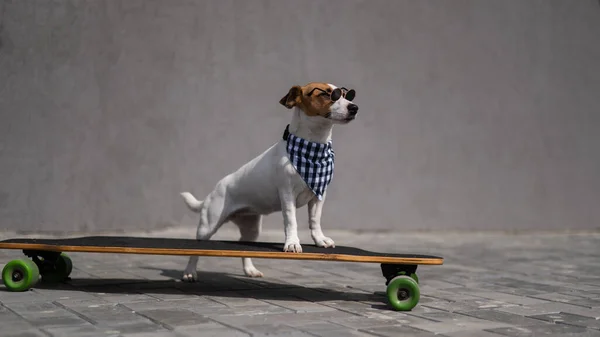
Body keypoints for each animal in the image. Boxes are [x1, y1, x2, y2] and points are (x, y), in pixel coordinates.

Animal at [178, 80, 356, 280]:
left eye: (346, 95)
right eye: (327, 94)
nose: (354, 107)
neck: (313, 148)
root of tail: (215, 189)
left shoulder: (318, 195)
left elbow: (315, 220)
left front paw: (320, 240)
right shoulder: (287, 194)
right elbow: (291, 220)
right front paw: (292, 243)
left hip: (252, 228)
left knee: (244, 247)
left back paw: (250, 270)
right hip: (208, 225)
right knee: (196, 249)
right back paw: (189, 272)